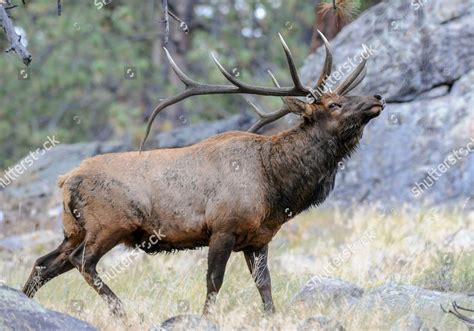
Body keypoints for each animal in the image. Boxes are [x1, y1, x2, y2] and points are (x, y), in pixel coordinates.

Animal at [21, 31, 386, 320]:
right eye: (333, 105)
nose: (377, 97)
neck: (276, 186)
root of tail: (66, 180)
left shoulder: (259, 238)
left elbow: (265, 286)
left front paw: (271, 317)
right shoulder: (222, 228)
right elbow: (214, 282)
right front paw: (206, 317)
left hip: (73, 230)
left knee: (44, 263)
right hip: (109, 224)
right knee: (83, 262)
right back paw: (120, 310)